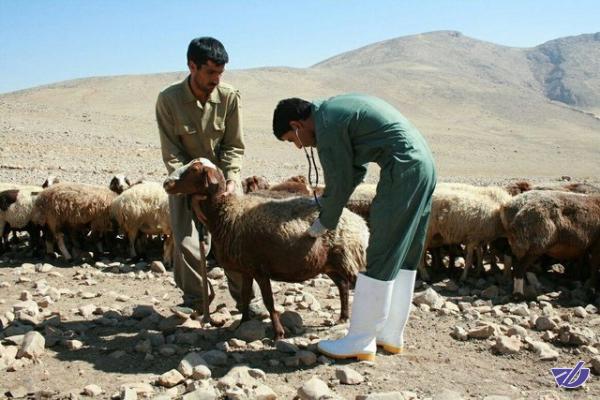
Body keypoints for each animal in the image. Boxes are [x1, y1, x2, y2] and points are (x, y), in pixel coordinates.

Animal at [165, 158, 370, 340]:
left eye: (194, 169)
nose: (167, 183)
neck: (228, 213)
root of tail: (360, 223)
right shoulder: (246, 269)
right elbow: (245, 296)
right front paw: (243, 323)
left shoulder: (260, 269)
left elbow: (269, 302)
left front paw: (278, 333)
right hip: (329, 264)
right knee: (343, 286)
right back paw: (343, 317)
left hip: (348, 259)